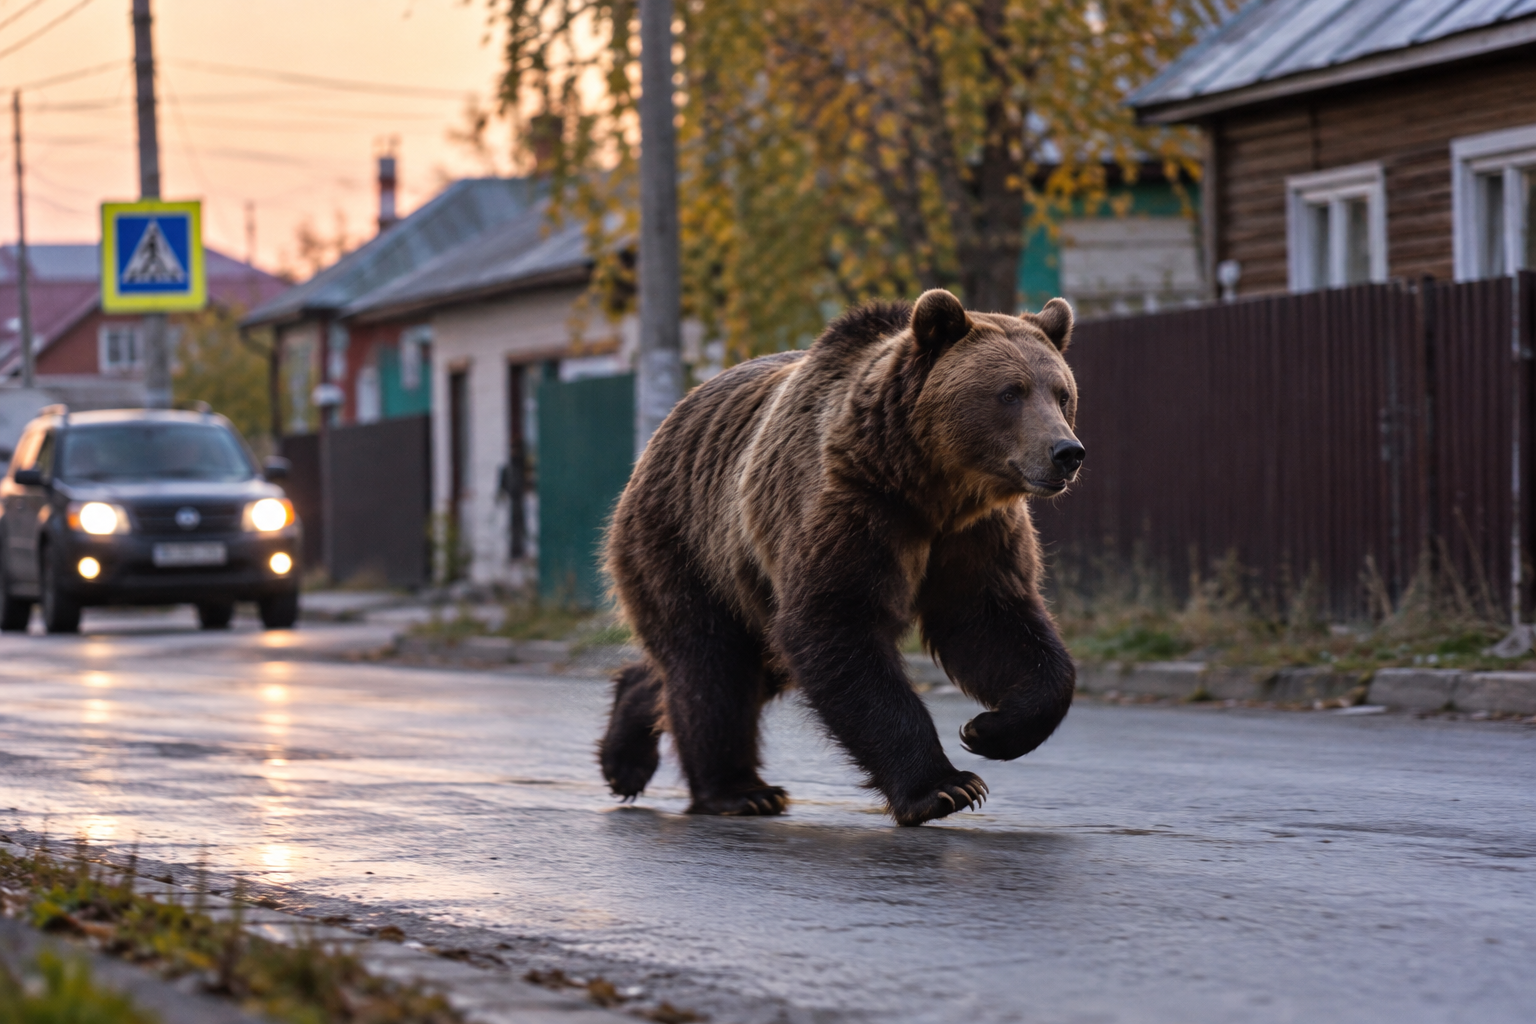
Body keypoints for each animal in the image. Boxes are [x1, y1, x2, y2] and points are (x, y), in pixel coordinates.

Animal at [600, 288, 1084, 825]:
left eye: (1061, 393)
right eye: (1009, 393)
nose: (1067, 451)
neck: (932, 487)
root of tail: (655, 441)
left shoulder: (975, 536)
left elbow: (994, 623)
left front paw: (991, 729)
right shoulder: (851, 508)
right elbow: (834, 625)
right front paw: (945, 787)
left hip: (742, 582)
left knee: (729, 665)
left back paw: (626, 754)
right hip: (687, 545)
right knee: (712, 664)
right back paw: (738, 790)